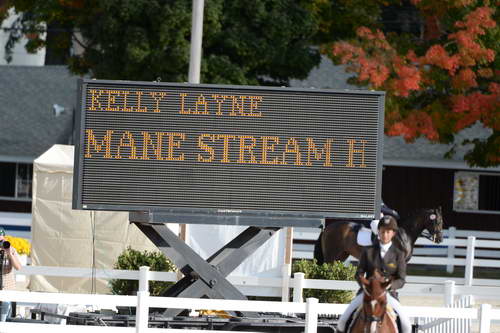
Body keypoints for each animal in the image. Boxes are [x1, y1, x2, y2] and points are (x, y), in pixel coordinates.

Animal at [314, 206, 444, 264]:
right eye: (437, 222)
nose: (440, 239)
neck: (405, 234)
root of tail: (327, 228)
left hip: (341, 256)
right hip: (330, 256)